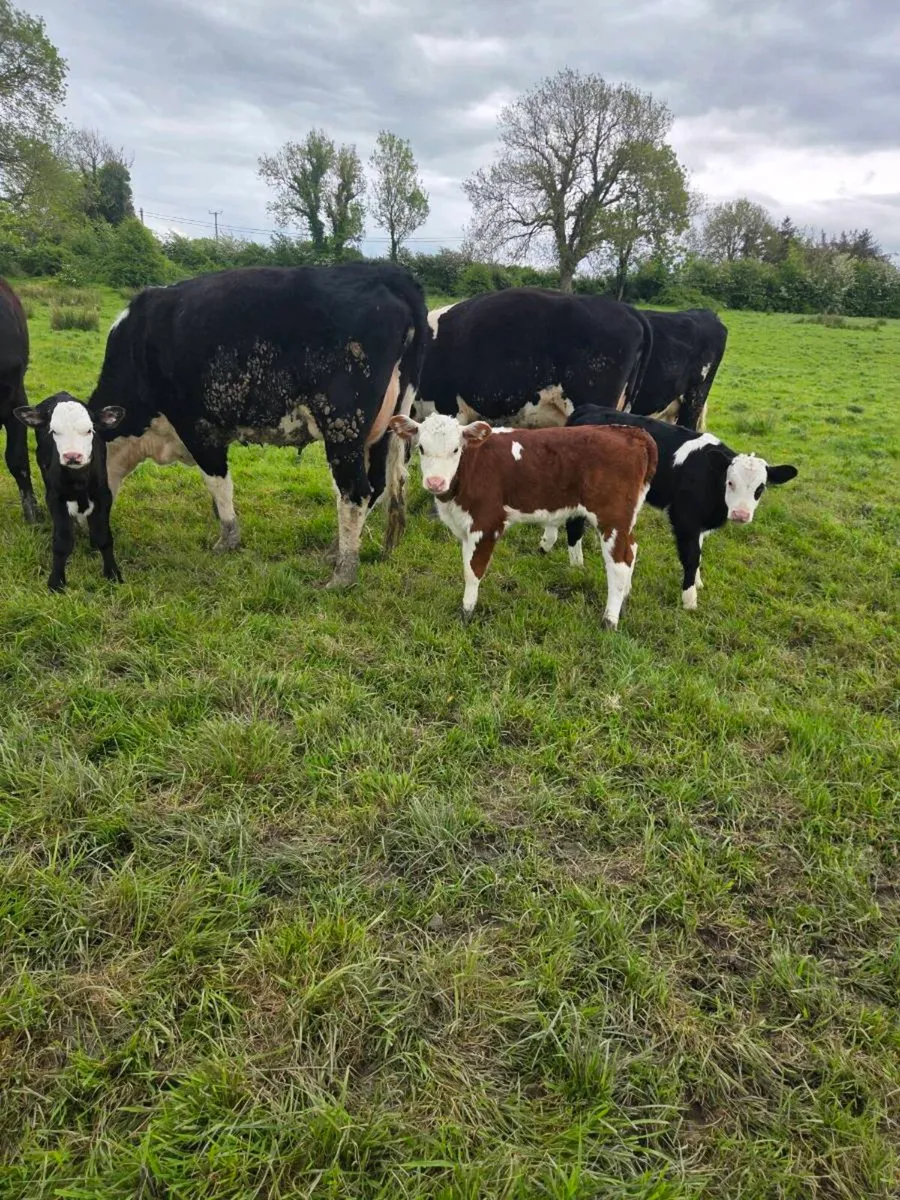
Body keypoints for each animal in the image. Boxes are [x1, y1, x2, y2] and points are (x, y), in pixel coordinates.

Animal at [15, 393, 125, 591]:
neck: (79, 481)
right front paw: (56, 581)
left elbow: (104, 537)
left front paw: (113, 574)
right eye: (54, 431)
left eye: (89, 430)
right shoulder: (55, 498)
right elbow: (62, 542)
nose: (72, 456)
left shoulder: (104, 496)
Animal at [85, 263, 428, 587]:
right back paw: (337, 549)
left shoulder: (198, 429)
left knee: (355, 491)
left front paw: (227, 538)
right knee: (376, 486)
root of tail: (384, 272)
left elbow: (218, 483)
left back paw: (343, 573)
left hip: (344, 425)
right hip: (382, 430)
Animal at [390, 413, 658, 630]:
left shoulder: (486, 523)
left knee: (619, 563)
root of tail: (630, 432)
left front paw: (467, 611)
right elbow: (466, 565)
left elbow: (473, 571)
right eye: (421, 448)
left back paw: (610, 620)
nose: (435, 482)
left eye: (456, 449)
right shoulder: (465, 527)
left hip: (612, 518)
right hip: (625, 521)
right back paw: (625, 598)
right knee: (632, 550)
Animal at [537, 408, 798, 610]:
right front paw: (689, 599)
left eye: (760, 488)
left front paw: (698, 582)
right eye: (730, 482)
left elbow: (699, 553)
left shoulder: (699, 523)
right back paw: (576, 564)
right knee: (574, 523)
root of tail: (587, 409)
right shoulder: (685, 519)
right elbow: (692, 556)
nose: (741, 515)